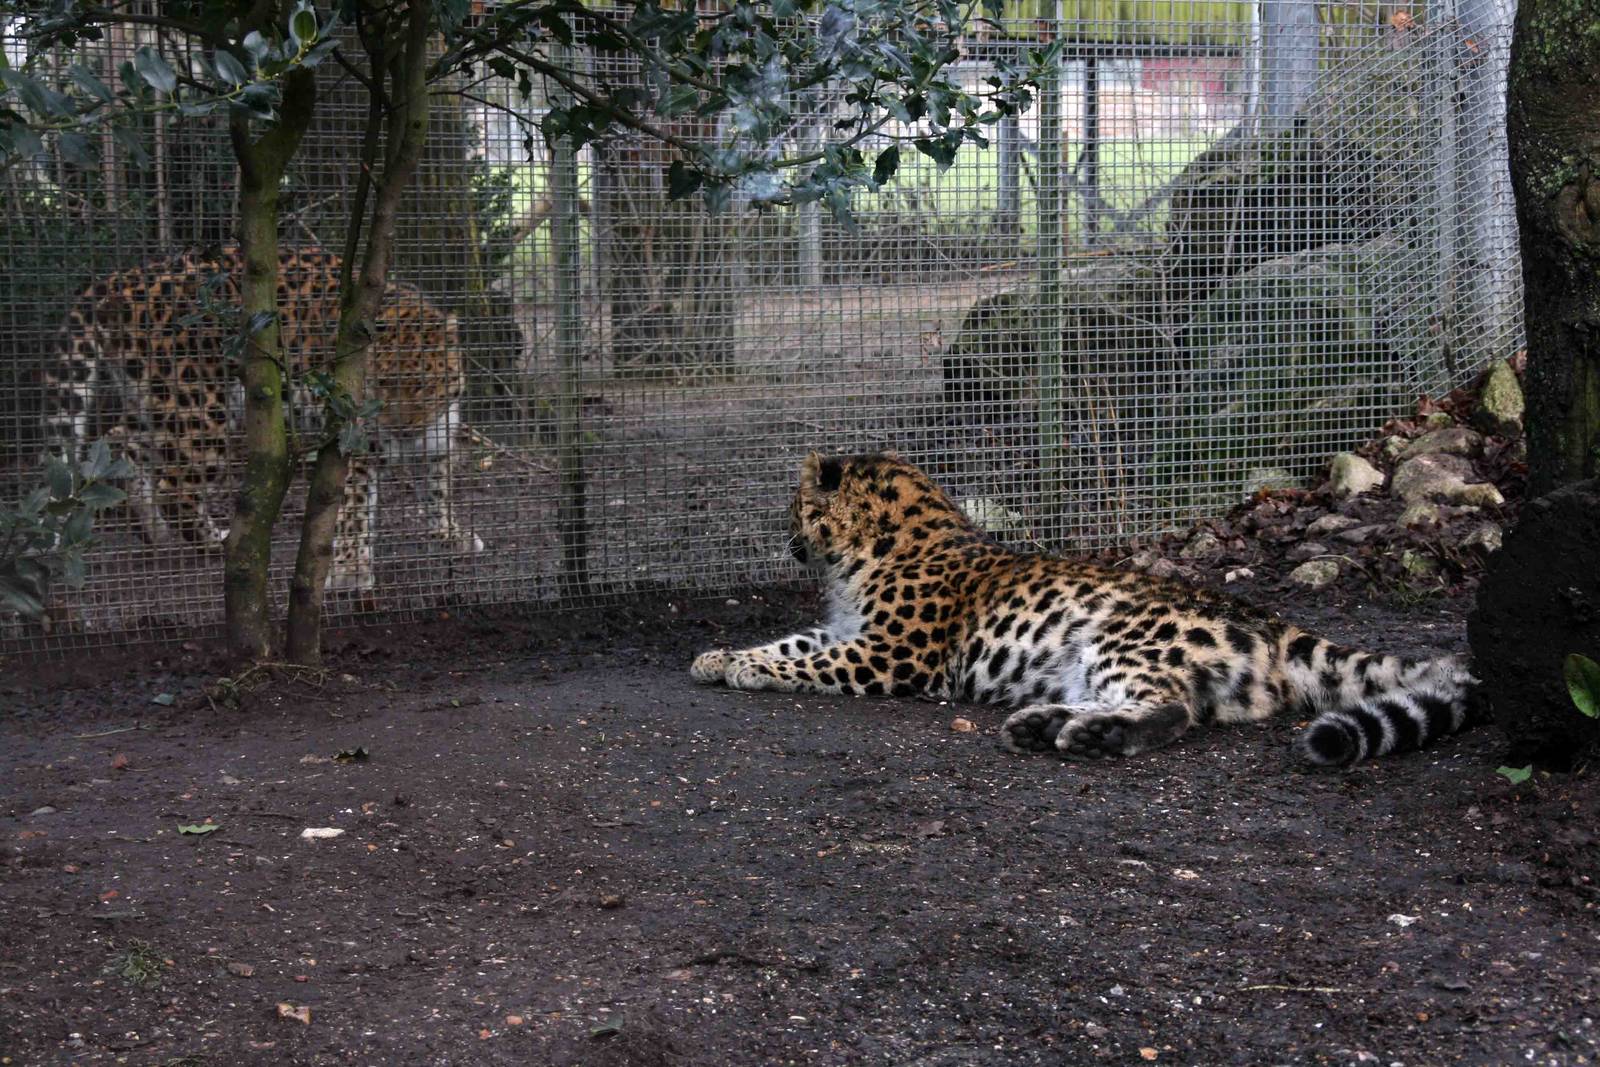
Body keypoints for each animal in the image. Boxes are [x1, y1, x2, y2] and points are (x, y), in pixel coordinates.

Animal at [43, 245, 484, 591]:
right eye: (382, 385)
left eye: (424, 386)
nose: (402, 428)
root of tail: (119, 280)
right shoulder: (351, 447)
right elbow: (355, 511)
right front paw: (351, 569)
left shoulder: (437, 439)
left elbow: (438, 490)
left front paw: (450, 534)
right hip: (200, 410)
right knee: (175, 486)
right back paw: (215, 542)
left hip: (153, 402)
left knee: (122, 441)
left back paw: (154, 532)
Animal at [691, 451, 1479, 766]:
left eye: (792, 505)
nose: (783, 536)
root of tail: (1273, 622)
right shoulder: (848, 629)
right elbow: (794, 642)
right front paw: (717, 656)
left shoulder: (890, 654)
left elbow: (812, 663)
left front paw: (744, 670)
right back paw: (1043, 724)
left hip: (1124, 637)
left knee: (1171, 711)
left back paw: (1082, 736)